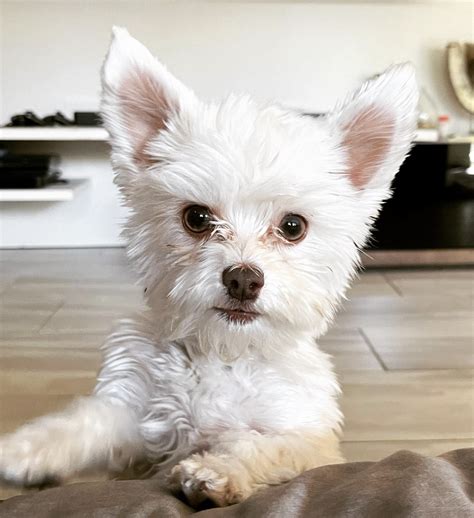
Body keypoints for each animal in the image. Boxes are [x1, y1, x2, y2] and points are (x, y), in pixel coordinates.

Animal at [0, 27, 416, 508]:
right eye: (196, 218)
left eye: (293, 226)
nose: (243, 279)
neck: (225, 353)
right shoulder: (135, 416)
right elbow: (86, 423)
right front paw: (25, 450)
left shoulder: (308, 437)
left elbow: (265, 445)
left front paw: (217, 469)